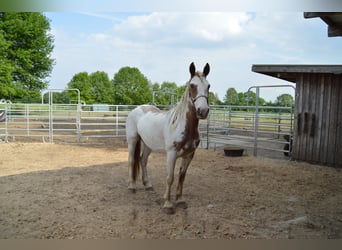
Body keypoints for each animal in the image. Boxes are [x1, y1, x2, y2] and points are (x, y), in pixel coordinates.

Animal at [125, 61, 211, 214]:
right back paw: (132, 186)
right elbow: (170, 177)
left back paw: (147, 185)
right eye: (192, 85)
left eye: (208, 86)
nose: (203, 111)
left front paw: (180, 200)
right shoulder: (171, 154)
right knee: (131, 160)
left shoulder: (189, 155)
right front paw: (168, 204)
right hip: (132, 140)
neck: (181, 125)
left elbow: (182, 177)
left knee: (142, 160)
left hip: (148, 144)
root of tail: (136, 109)